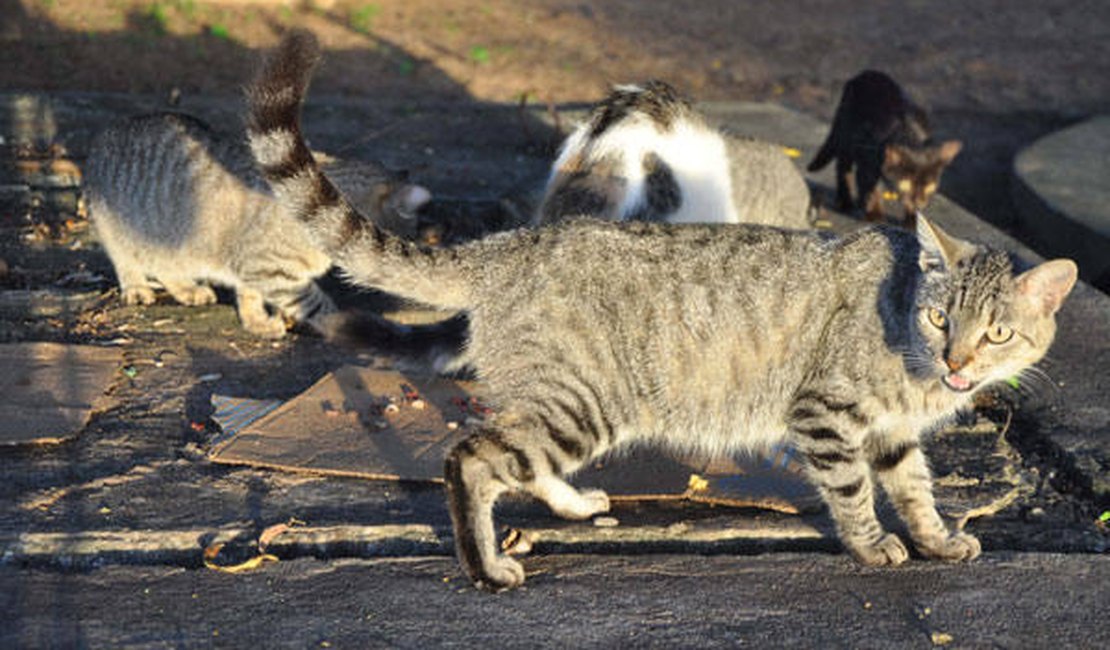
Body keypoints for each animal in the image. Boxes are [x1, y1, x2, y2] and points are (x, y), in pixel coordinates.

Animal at [84, 112, 430, 337]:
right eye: (408, 239)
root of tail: (106, 132)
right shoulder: (263, 265)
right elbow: (316, 301)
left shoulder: (253, 269)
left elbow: (251, 296)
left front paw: (258, 321)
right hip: (118, 229)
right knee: (128, 261)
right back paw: (138, 287)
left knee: (166, 266)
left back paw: (188, 288)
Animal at [808, 69, 963, 226]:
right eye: (906, 184)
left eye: (929, 186)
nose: (918, 202)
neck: (911, 132)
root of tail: (865, 73)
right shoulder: (868, 163)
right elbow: (872, 189)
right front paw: (875, 215)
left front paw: (913, 220)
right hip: (847, 137)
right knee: (843, 168)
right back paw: (846, 202)